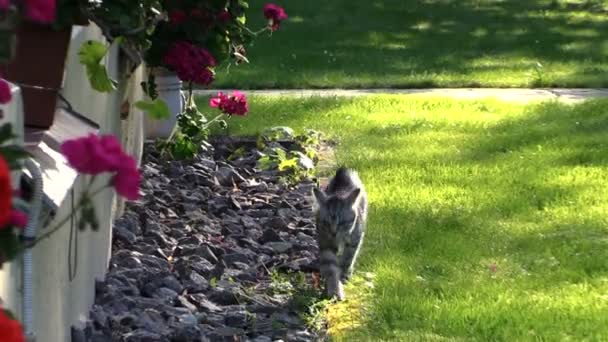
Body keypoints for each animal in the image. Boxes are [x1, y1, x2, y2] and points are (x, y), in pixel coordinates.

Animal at [312, 167, 368, 300]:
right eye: (326, 223)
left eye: (342, 222)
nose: (333, 233)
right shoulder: (326, 242)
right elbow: (331, 267)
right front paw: (335, 290)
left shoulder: (354, 239)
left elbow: (348, 259)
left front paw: (344, 276)